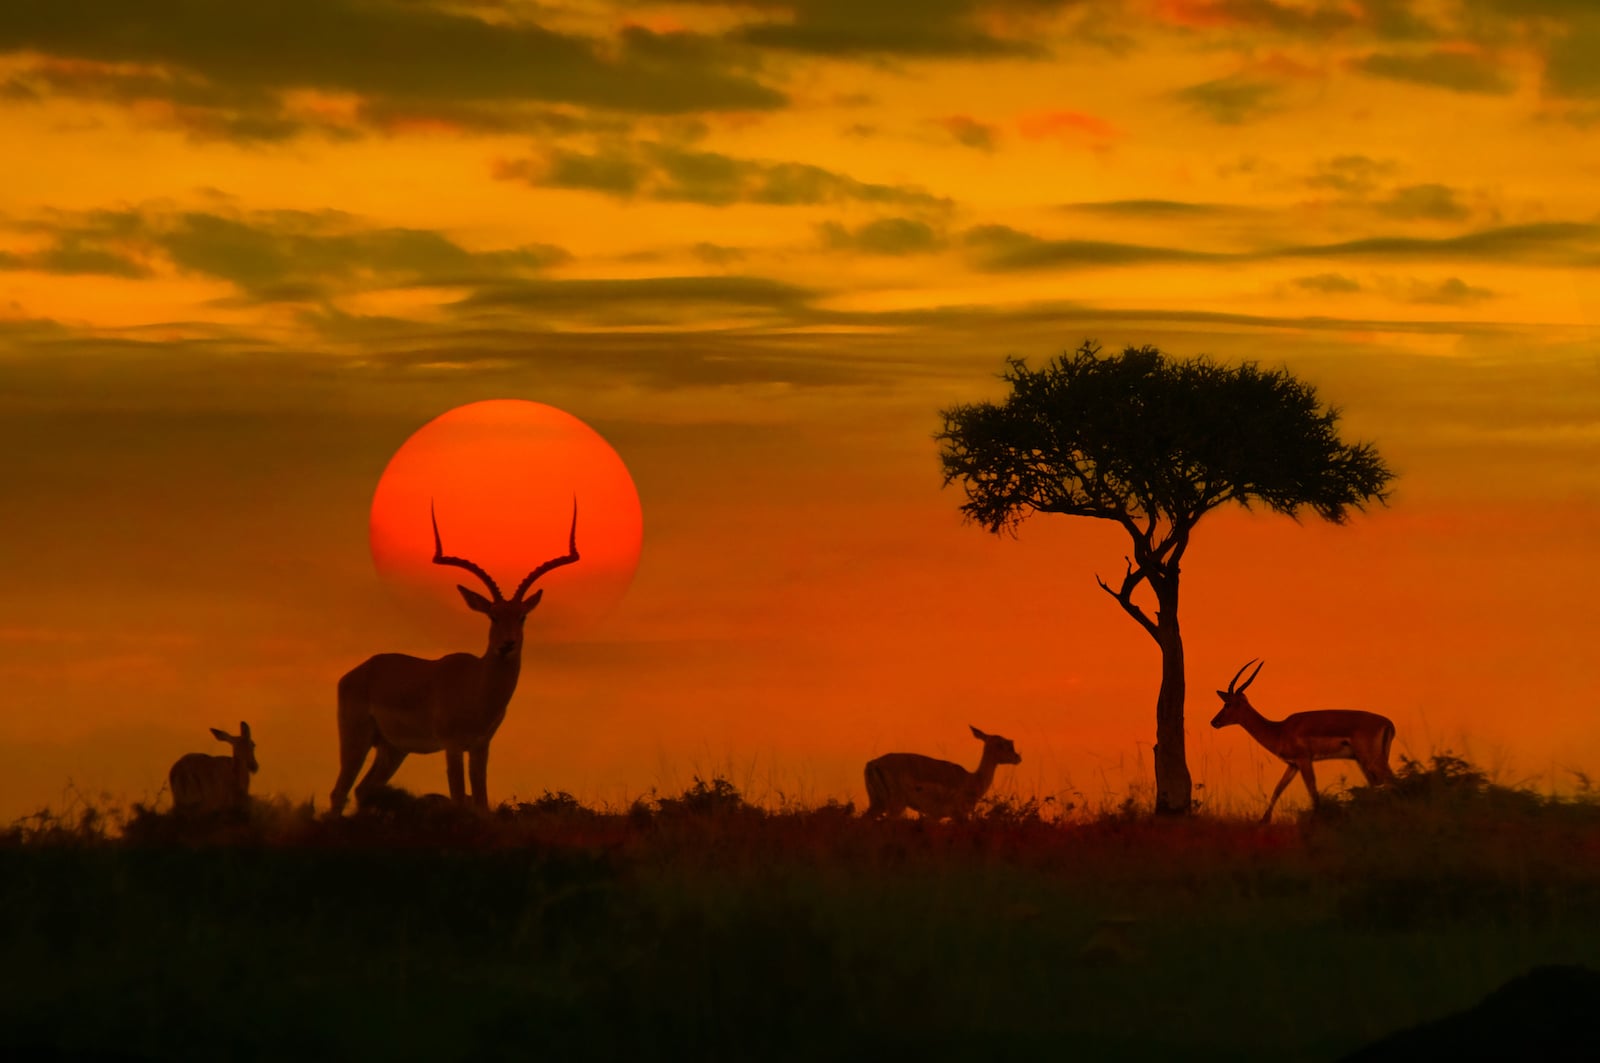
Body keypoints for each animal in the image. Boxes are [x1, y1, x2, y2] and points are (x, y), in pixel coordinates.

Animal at [328, 499, 579, 813]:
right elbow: (459, 797)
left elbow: (481, 801)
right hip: (356, 739)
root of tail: (360, 671)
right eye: (493, 615)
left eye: (522, 616)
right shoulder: (452, 745)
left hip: (393, 748)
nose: (507, 645)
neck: (476, 688)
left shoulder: (480, 747)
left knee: (364, 789)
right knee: (340, 792)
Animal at [864, 723, 1024, 819]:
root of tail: (872, 764)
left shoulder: (936, 815)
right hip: (895, 805)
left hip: (877, 803)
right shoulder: (958, 814)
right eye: (1002, 744)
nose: (1018, 757)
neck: (973, 780)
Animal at [1203, 659, 1395, 826]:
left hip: (1370, 759)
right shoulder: (1292, 764)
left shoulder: (1304, 760)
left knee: (1391, 780)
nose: (1214, 722)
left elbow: (1313, 791)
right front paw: (1263, 820)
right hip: (1365, 761)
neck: (1279, 730)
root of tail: (1388, 723)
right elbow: (1278, 789)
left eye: (1228, 704)